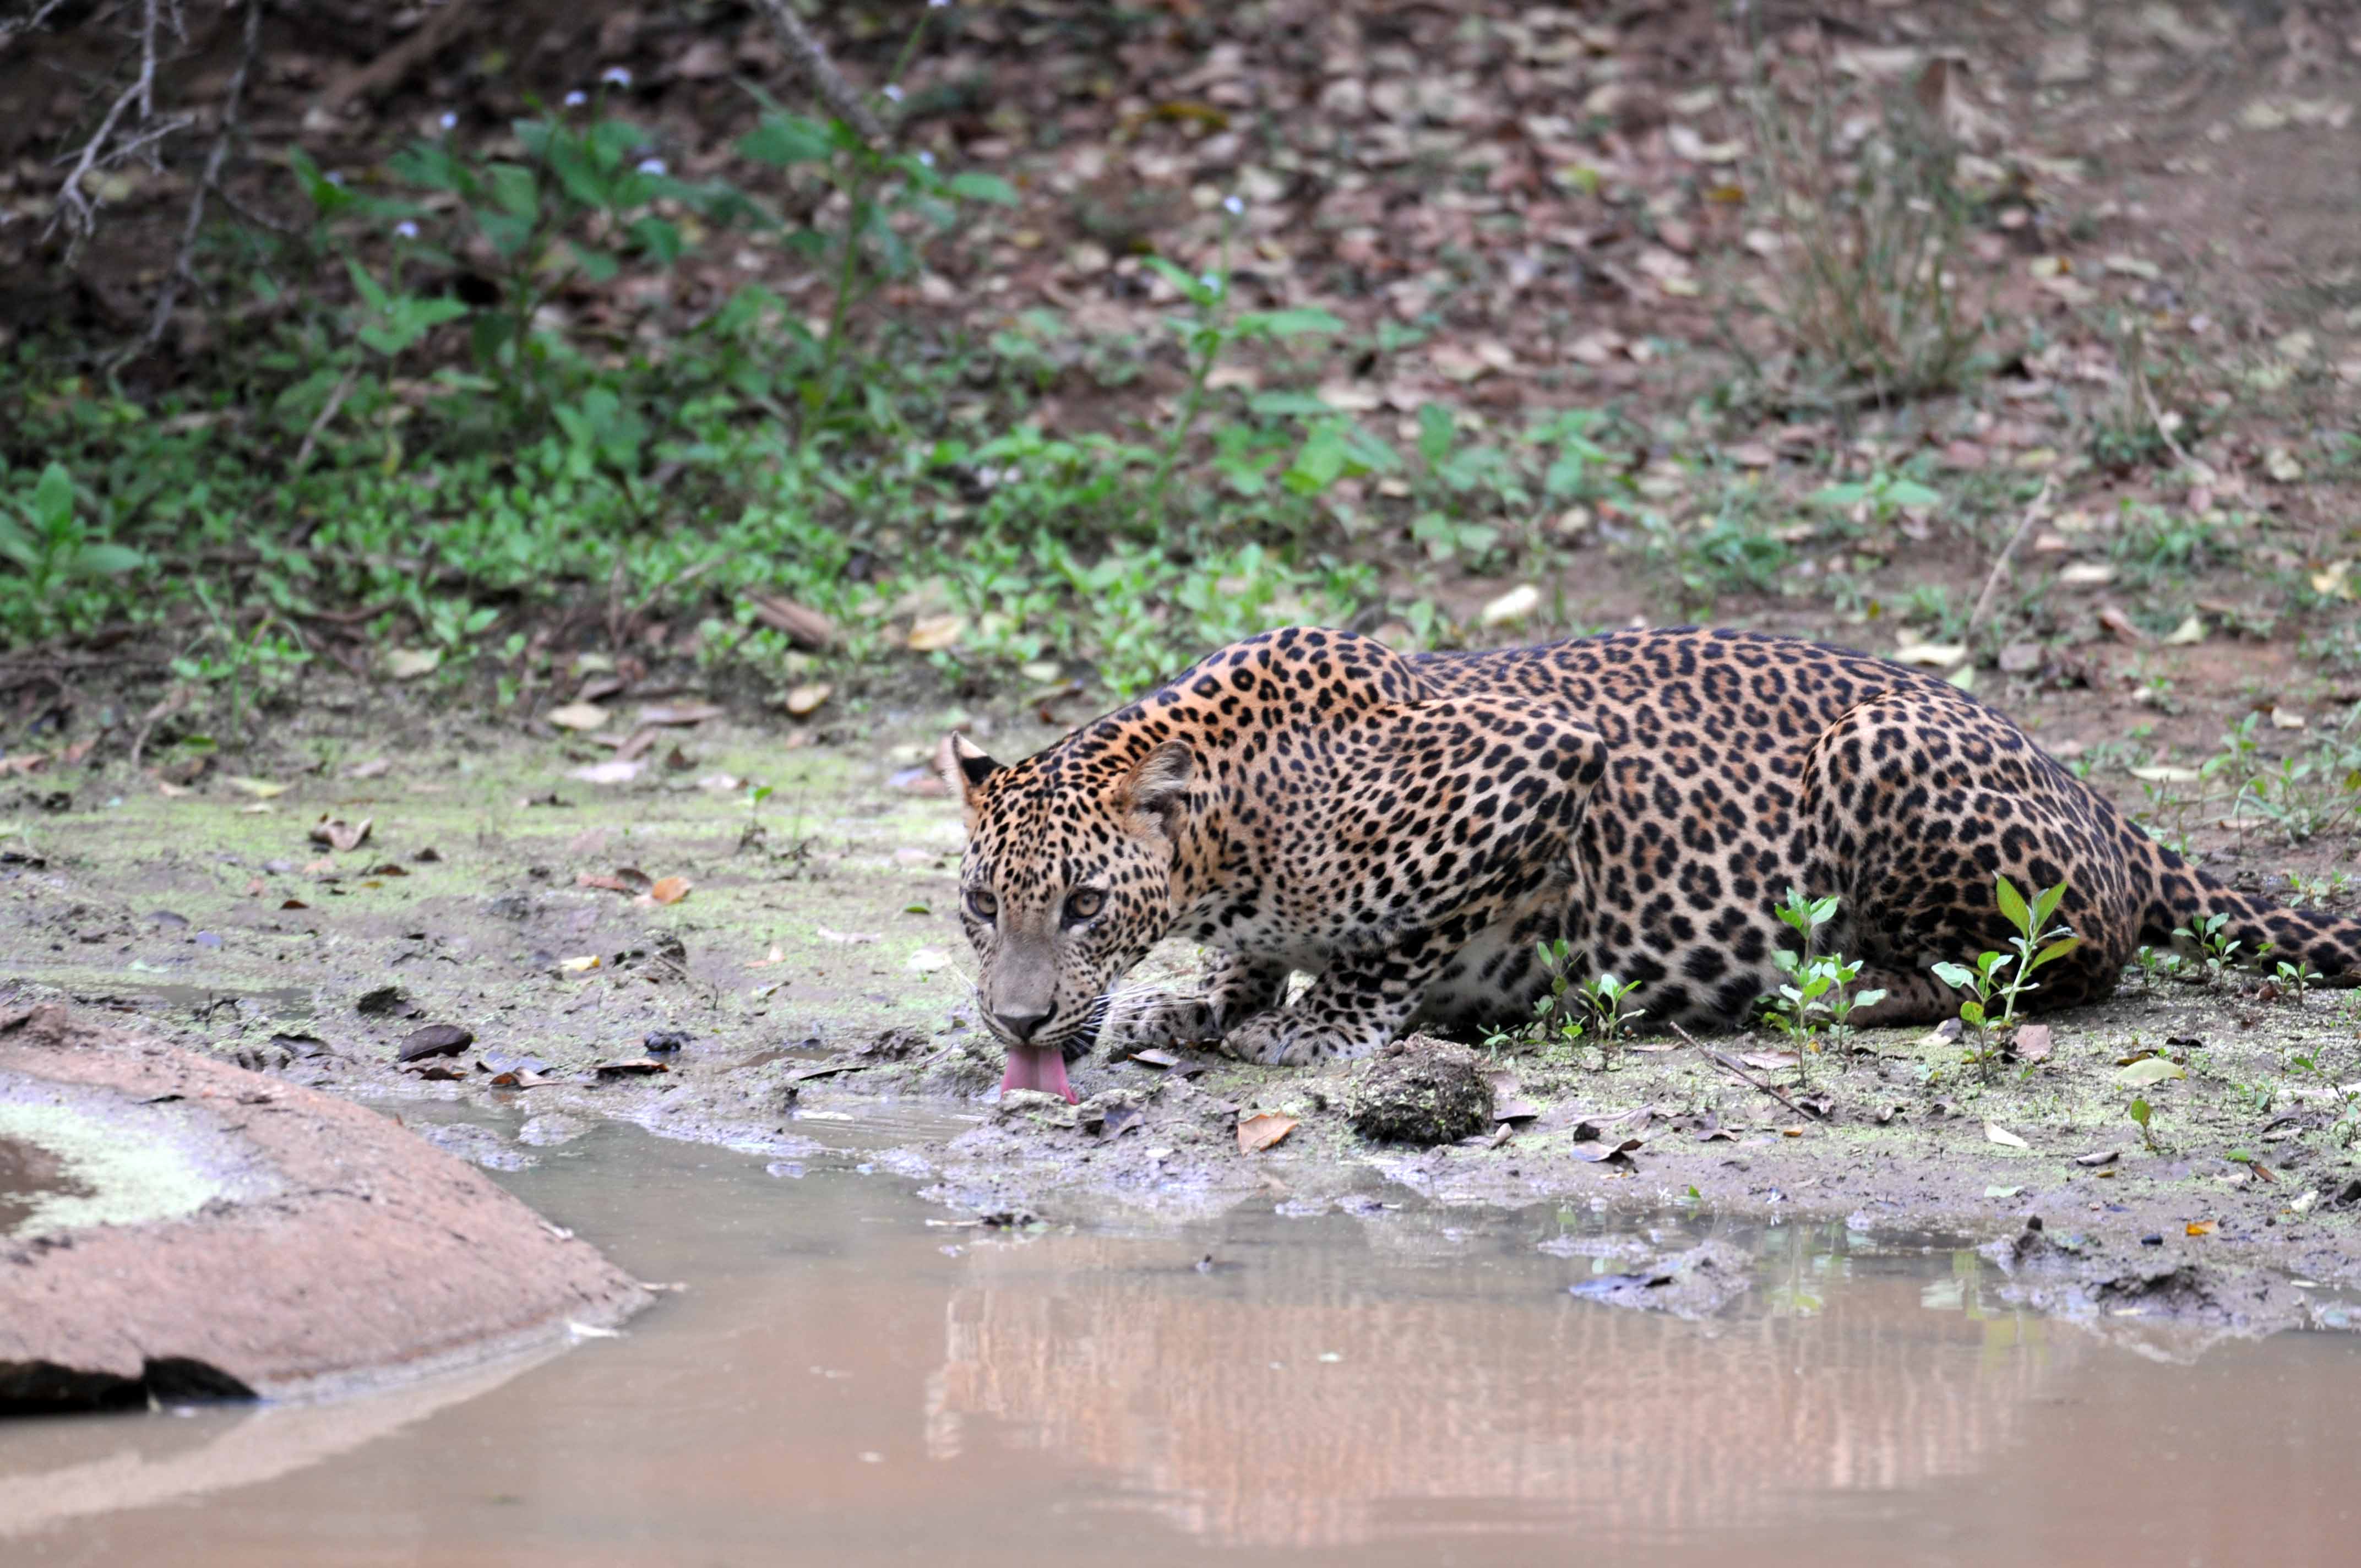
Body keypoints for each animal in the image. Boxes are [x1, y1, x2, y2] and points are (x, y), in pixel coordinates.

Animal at [935, 624, 2361, 1100]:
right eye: (977, 903)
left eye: (1082, 901)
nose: (1014, 1021)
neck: (1234, 832)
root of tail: (2104, 798)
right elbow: (1240, 964)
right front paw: (1197, 1003)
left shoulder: (1532, 776)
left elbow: (1395, 945)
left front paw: (1319, 1025)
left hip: (1879, 759)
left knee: (2029, 971)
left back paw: (1826, 990)